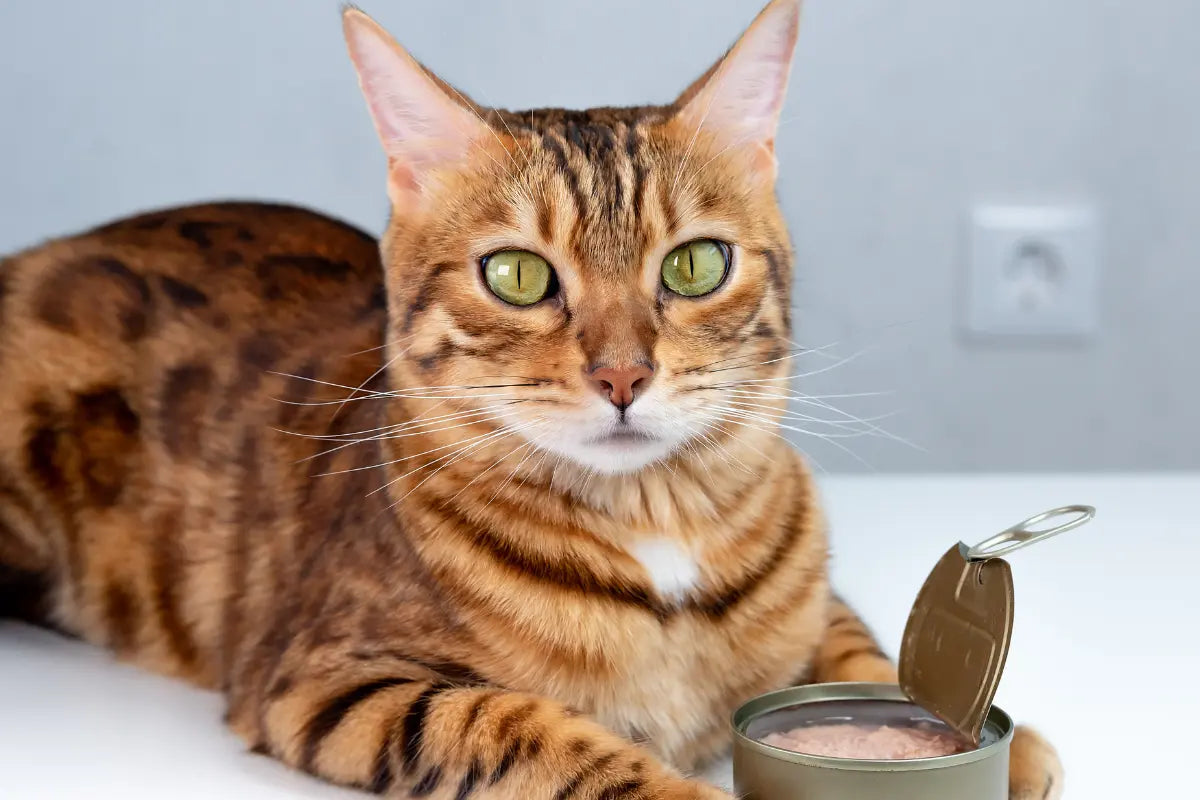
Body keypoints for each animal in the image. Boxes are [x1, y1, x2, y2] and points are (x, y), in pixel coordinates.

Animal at [0, 0, 1065, 796]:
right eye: (517, 275)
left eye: (695, 264)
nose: (623, 376)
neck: (657, 525)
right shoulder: (334, 679)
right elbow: (522, 728)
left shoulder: (819, 603)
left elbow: (867, 655)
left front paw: (1000, 753)